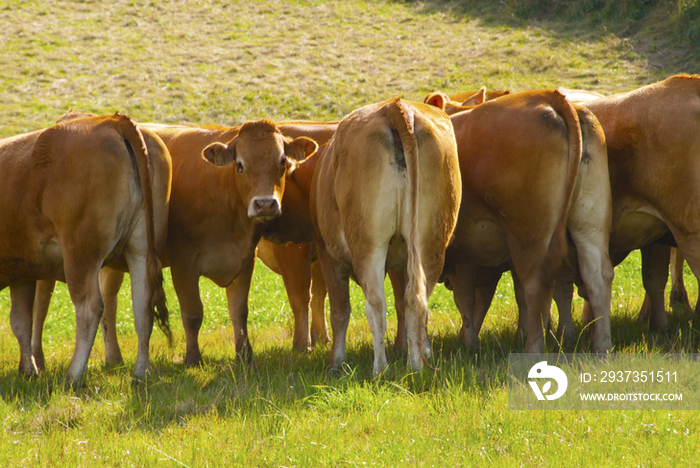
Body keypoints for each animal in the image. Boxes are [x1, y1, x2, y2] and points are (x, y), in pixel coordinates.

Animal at [0, 113, 173, 388]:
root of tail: (111, 120)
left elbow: (20, 321)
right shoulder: (22, 269)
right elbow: (21, 321)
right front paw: (28, 370)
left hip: (81, 255)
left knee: (90, 308)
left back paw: (74, 375)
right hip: (142, 249)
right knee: (143, 305)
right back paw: (141, 372)